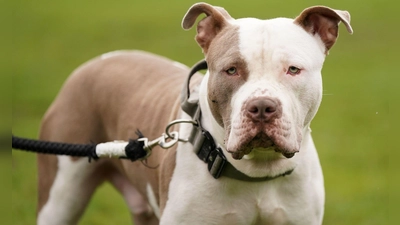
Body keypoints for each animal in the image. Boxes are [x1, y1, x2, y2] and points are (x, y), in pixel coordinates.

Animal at [36, 2, 352, 225]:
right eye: (231, 70)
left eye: (293, 69)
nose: (262, 107)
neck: (257, 175)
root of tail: (96, 61)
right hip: (59, 198)